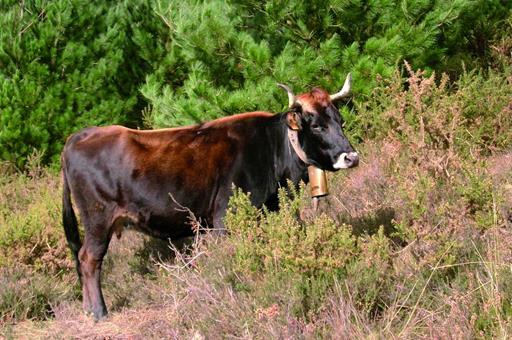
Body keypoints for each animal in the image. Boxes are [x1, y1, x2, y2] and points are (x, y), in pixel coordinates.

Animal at [62, 74, 358, 318]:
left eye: (340, 121)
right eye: (317, 126)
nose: (351, 156)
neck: (272, 150)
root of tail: (82, 134)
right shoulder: (225, 218)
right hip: (98, 219)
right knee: (89, 259)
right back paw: (99, 312)